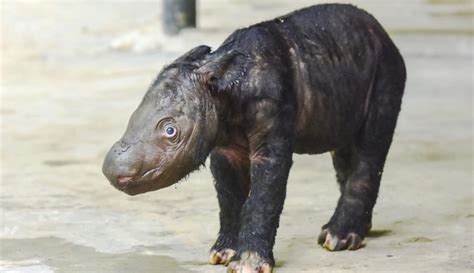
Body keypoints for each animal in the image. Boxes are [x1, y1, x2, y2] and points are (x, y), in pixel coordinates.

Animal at [102, 3, 406, 270]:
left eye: (170, 130)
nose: (112, 170)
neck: (224, 87)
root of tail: (385, 35)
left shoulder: (273, 118)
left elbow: (264, 195)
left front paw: (248, 264)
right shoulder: (223, 144)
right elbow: (229, 195)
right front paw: (222, 253)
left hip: (387, 70)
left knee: (370, 147)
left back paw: (339, 238)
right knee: (344, 151)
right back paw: (349, 232)